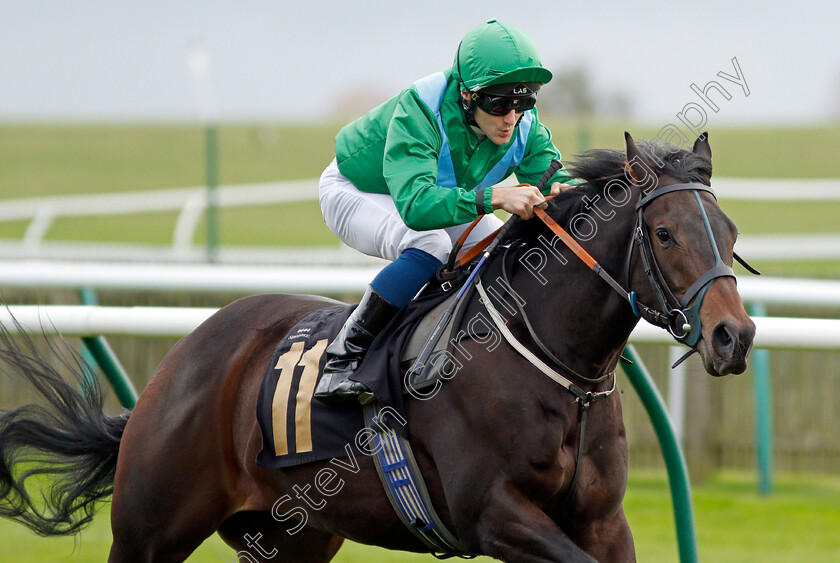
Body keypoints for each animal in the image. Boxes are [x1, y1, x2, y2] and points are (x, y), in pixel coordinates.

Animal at [0, 132, 756, 560]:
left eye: (730, 229)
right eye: (665, 234)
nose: (735, 334)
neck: (554, 364)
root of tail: (179, 361)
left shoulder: (602, 520)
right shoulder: (493, 513)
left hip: (292, 537)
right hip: (148, 529)